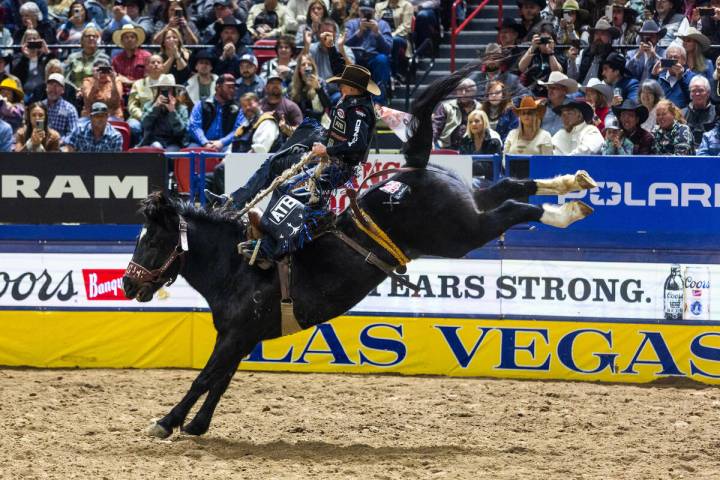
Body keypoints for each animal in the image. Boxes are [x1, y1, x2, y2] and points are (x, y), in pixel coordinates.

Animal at [122, 63, 596, 438]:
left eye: (153, 241)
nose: (127, 284)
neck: (236, 265)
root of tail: (411, 171)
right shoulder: (242, 337)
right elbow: (219, 380)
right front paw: (197, 425)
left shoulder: (236, 335)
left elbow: (205, 378)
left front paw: (166, 422)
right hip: (468, 204)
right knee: (511, 187)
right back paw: (572, 185)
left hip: (462, 232)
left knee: (516, 207)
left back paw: (566, 209)